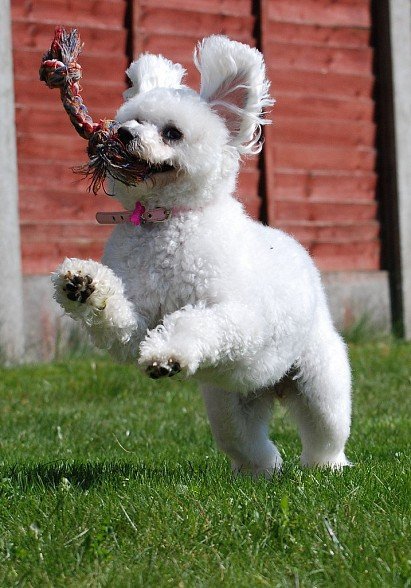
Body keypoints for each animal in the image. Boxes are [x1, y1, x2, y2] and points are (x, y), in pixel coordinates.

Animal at [53, 35, 352, 478]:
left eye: (172, 133)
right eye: (131, 121)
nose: (122, 134)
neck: (166, 221)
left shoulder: (238, 318)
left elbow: (193, 321)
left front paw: (166, 355)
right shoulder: (138, 320)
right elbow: (122, 323)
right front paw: (83, 285)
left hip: (319, 382)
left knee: (325, 432)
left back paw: (327, 467)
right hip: (229, 406)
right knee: (250, 444)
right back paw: (262, 471)